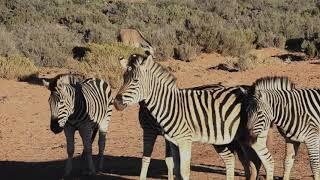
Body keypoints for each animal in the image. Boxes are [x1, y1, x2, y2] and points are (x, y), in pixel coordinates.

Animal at [114, 53, 258, 180]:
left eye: (135, 80)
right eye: (123, 79)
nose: (117, 103)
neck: (168, 104)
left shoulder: (154, 133)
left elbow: (149, 160)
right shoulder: (170, 139)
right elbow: (173, 166)